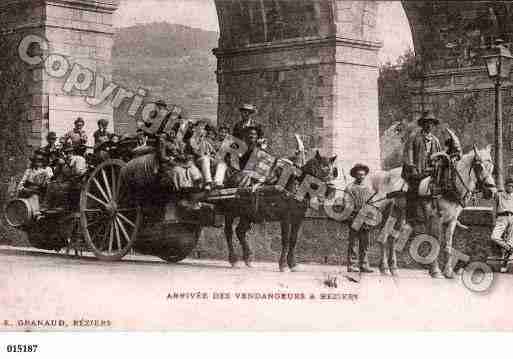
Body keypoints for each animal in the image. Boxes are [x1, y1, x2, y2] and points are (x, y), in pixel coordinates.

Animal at [368, 146, 496, 278]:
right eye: (479, 166)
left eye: (492, 167)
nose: (492, 191)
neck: (448, 185)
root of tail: (384, 176)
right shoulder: (435, 219)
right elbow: (436, 242)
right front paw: (435, 271)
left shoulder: (452, 220)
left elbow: (448, 244)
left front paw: (448, 271)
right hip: (387, 214)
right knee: (383, 237)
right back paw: (384, 268)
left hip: (399, 215)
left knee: (392, 238)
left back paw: (393, 268)